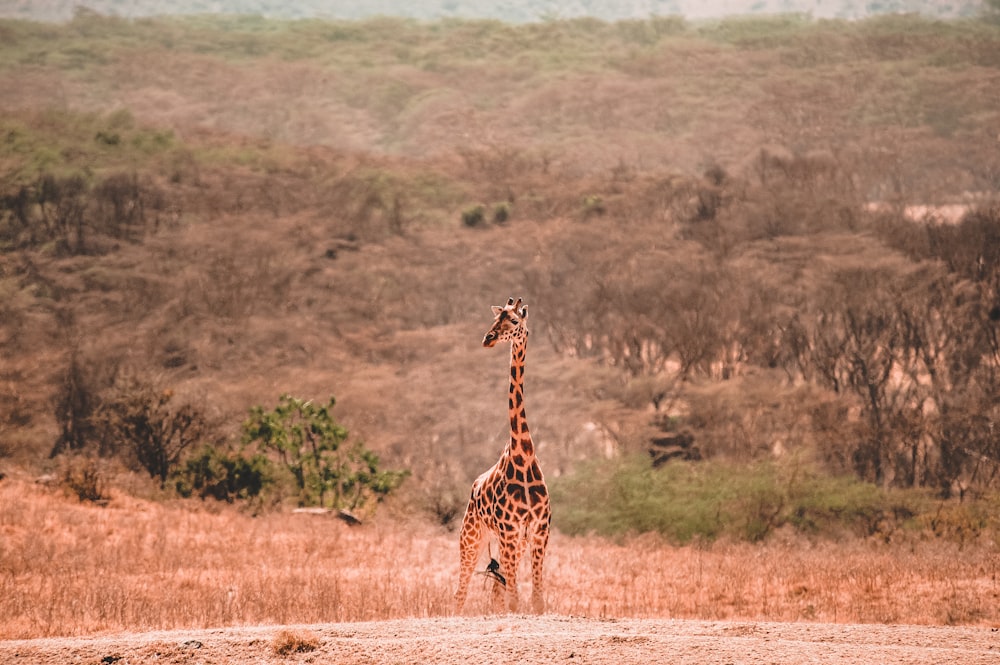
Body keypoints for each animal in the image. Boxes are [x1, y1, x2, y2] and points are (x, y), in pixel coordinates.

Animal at [456, 296, 552, 612]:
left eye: (513, 321)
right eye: (495, 319)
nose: (488, 338)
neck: (523, 455)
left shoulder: (538, 530)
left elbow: (536, 600)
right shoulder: (509, 530)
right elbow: (515, 600)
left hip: (511, 542)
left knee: (498, 590)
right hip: (471, 537)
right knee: (460, 592)